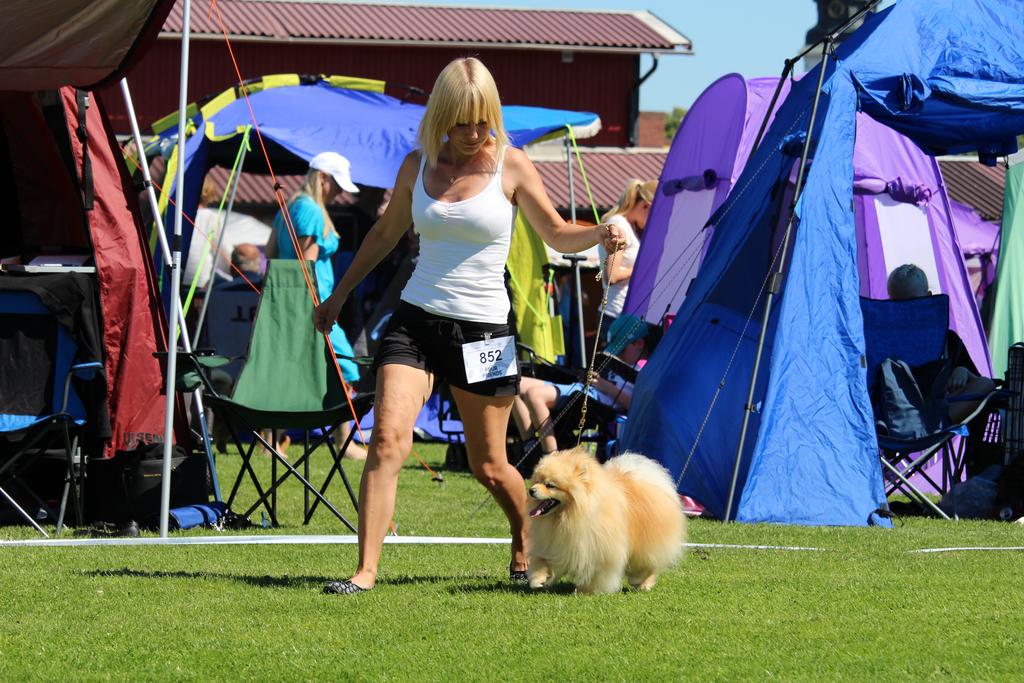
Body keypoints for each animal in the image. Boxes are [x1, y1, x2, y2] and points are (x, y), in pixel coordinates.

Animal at [526, 448, 686, 595]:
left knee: (648, 566)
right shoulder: (553, 545)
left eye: (550, 485)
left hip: (645, 546)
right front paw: (538, 579)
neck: (567, 516)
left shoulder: (598, 551)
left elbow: (594, 574)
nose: (531, 490)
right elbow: (541, 562)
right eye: (537, 481)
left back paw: (643, 584)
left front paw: (586, 591)